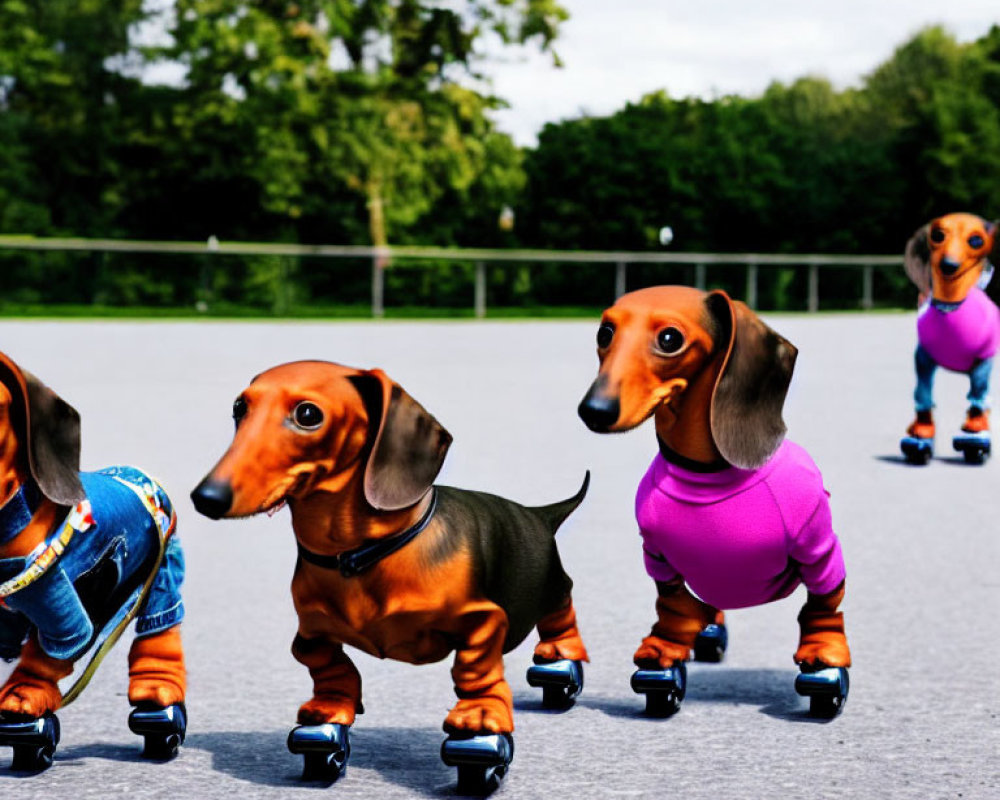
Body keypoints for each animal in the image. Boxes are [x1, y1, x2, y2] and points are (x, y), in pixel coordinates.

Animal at [0, 350, 186, 764]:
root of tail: (139, 478)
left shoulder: (65, 614)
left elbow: (43, 660)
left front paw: (24, 707)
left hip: (162, 577)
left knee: (160, 636)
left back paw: (159, 705)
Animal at [189, 362, 584, 780]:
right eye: (239, 408)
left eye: (307, 414)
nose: (205, 497)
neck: (358, 557)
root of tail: (539, 515)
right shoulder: (311, 630)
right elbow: (322, 661)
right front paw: (330, 710)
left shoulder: (485, 619)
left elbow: (475, 667)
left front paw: (479, 718)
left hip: (552, 587)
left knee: (562, 614)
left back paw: (560, 659)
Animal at [580, 290, 852, 720]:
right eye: (604, 332)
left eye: (670, 339)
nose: (593, 409)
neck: (707, 474)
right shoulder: (658, 558)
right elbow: (672, 605)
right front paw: (665, 653)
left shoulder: (819, 550)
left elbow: (824, 606)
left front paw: (824, 658)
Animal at [904, 209, 996, 454]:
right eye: (937, 235)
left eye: (976, 240)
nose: (949, 265)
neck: (950, 308)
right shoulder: (924, 357)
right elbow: (923, 392)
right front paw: (921, 432)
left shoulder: (983, 359)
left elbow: (977, 394)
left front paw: (974, 435)